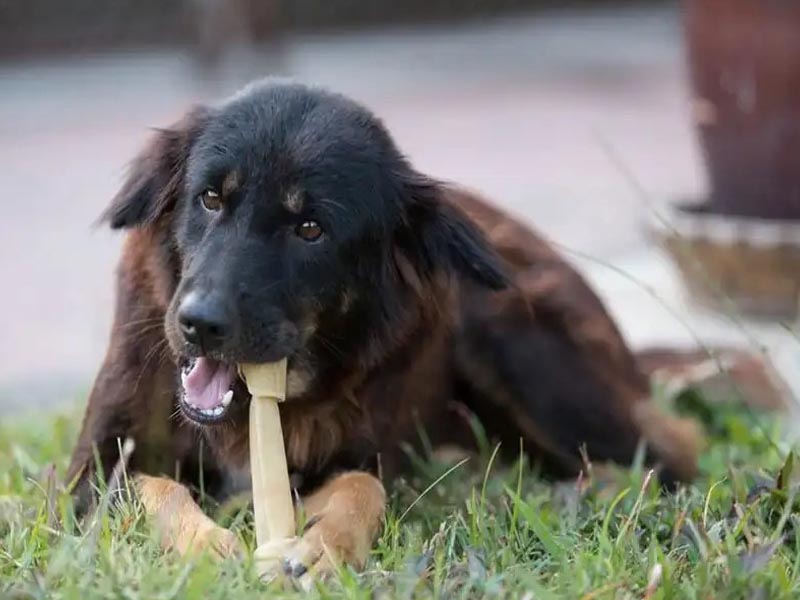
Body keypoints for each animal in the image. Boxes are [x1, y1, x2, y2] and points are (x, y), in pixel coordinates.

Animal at [69, 81, 700, 580]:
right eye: (209, 199)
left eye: (310, 229)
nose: (199, 324)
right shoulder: (85, 476)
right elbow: (148, 488)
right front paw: (203, 546)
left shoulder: (365, 453)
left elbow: (362, 486)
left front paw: (326, 546)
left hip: (507, 336)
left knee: (671, 451)